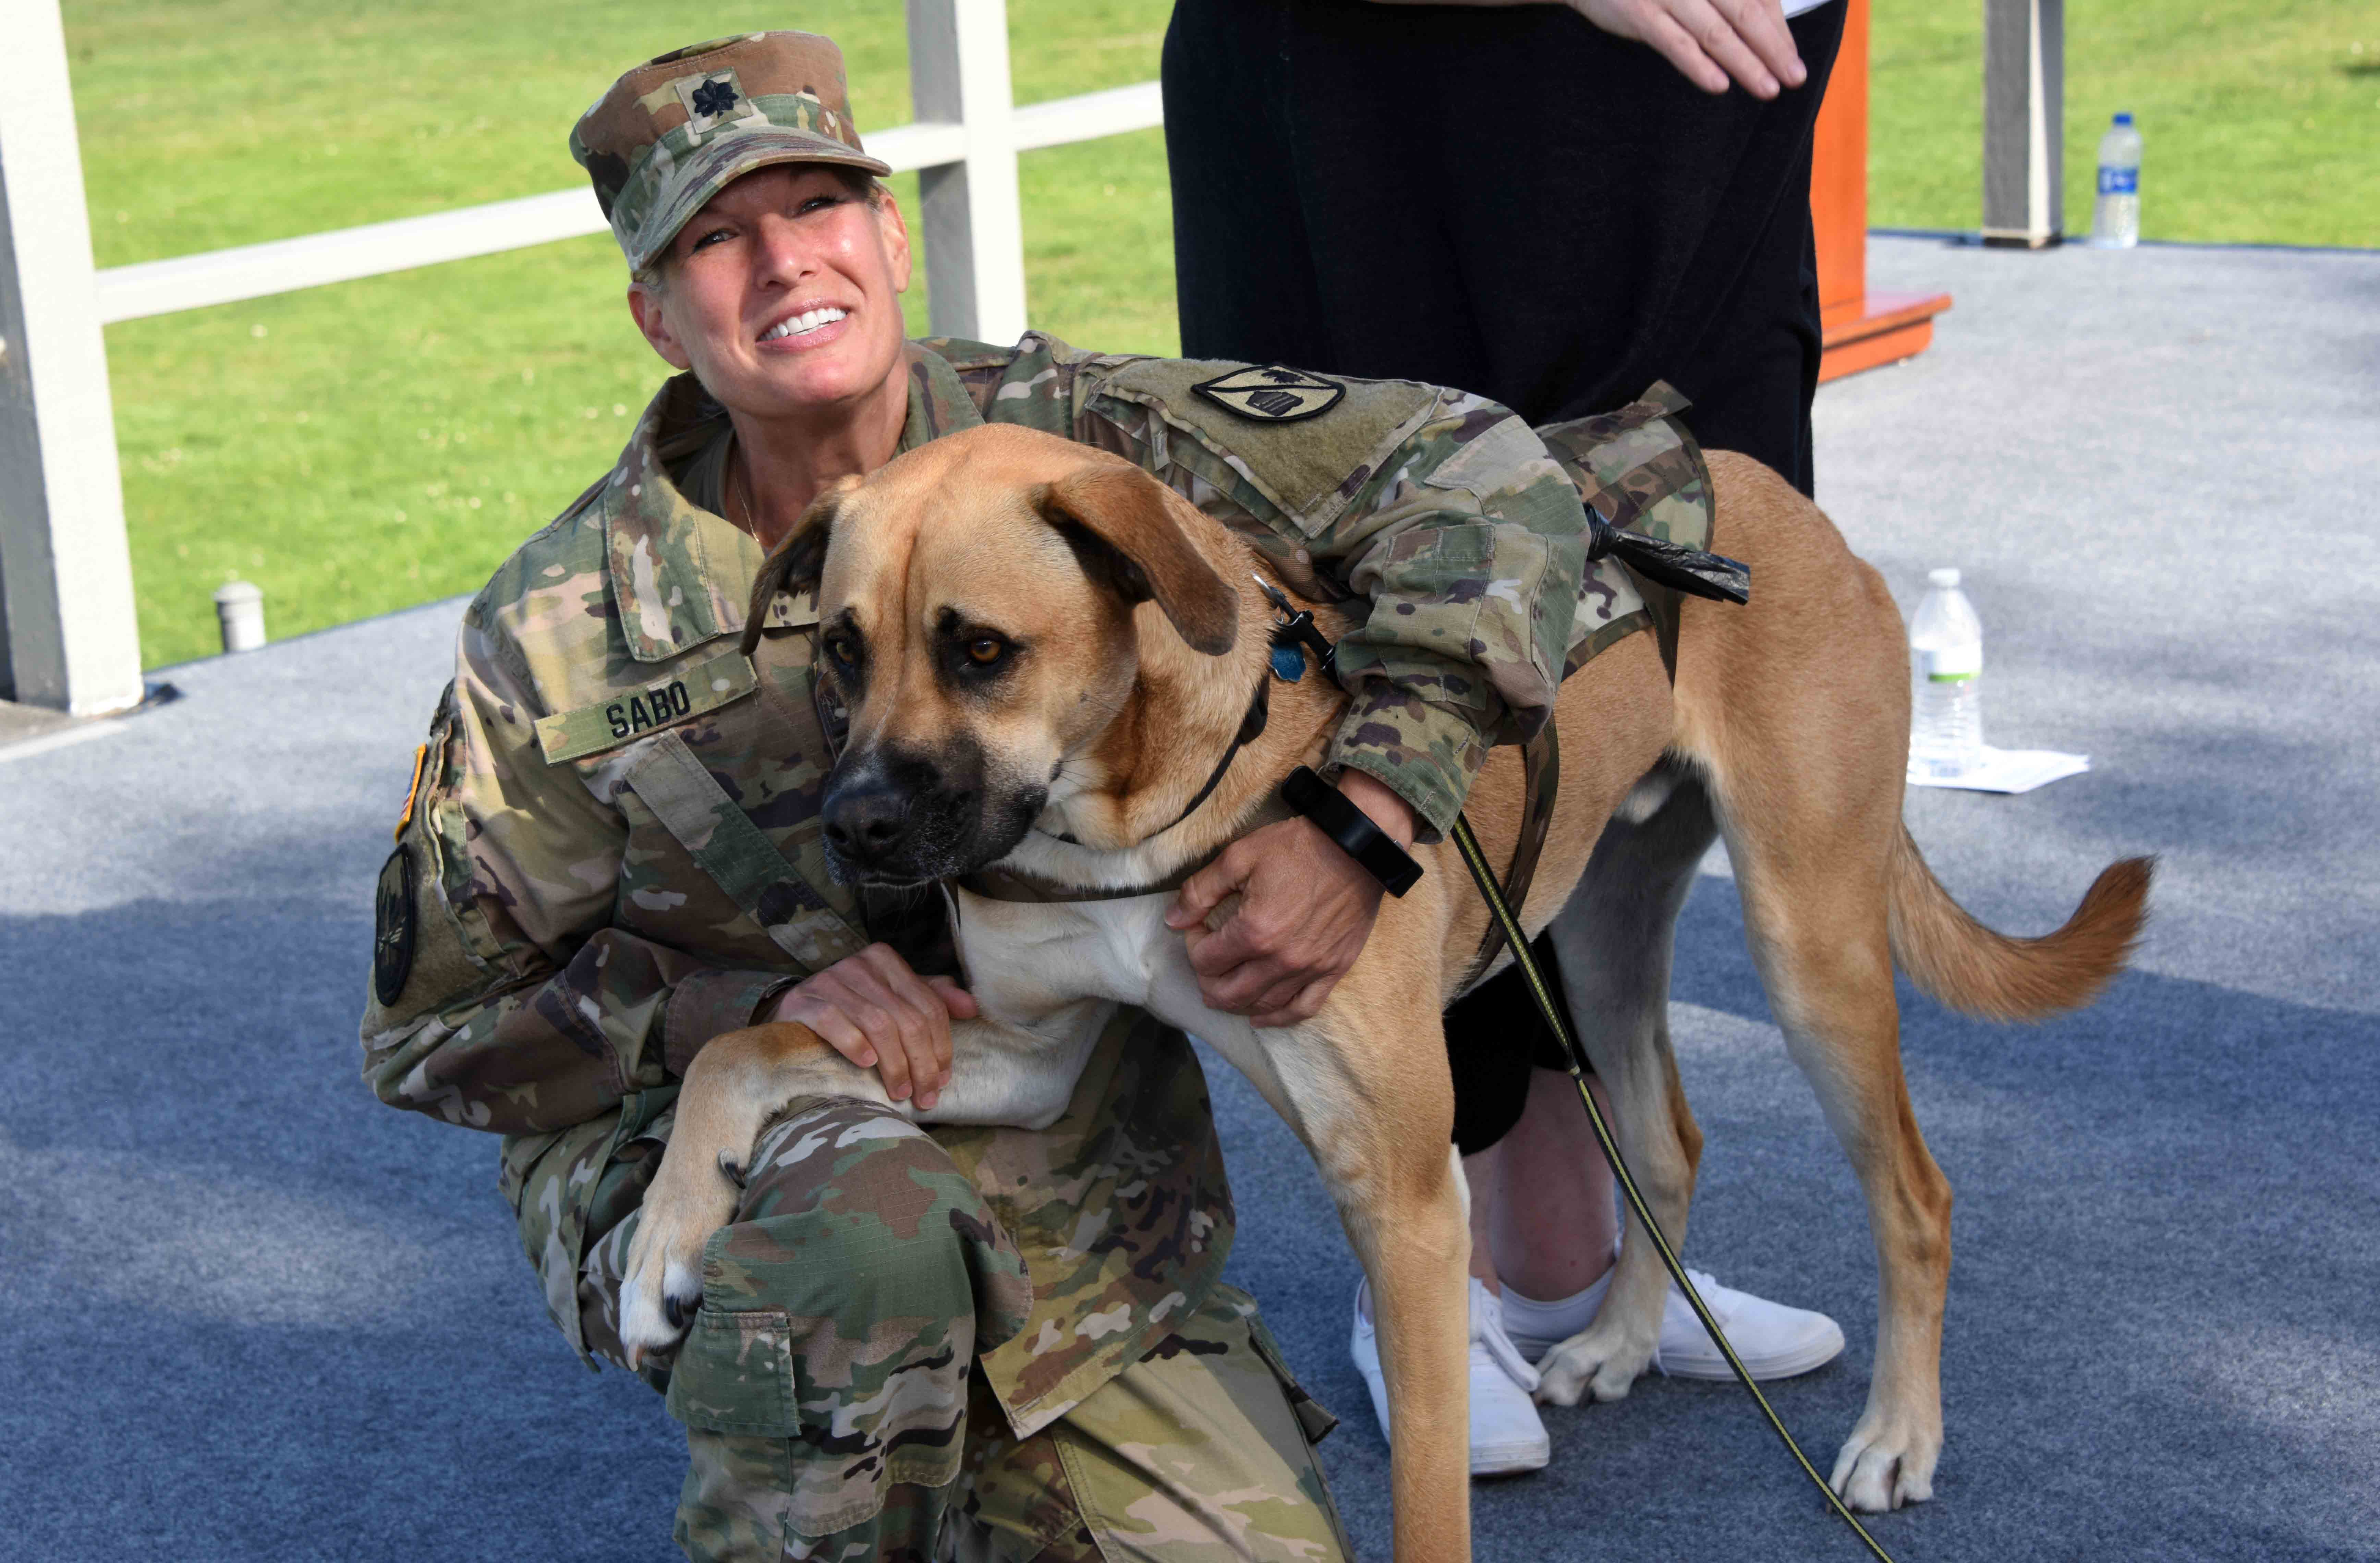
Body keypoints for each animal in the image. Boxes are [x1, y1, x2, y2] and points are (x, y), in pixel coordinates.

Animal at [616, 423, 2150, 1561]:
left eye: (979, 649)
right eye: (840, 650)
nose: (856, 827)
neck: (1136, 800)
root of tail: (1789, 508)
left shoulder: (1403, 1190)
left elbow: (1424, 1500)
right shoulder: (1024, 1049)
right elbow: (748, 1048)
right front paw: (661, 1252)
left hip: (1807, 943)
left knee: (1914, 1195)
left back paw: (1896, 1438)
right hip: (1597, 938)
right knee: (1664, 1138)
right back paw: (1615, 1343)